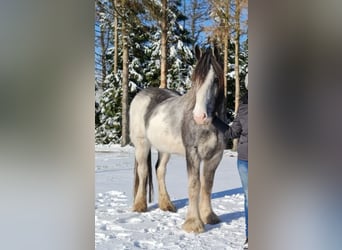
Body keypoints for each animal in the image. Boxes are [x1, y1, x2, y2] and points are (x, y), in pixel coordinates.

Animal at [128, 44, 224, 232]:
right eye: (194, 80)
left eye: (216, 79)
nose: (200, 116)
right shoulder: (193, 153)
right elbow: (194, 185)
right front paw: (193, 224)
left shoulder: (215, 156)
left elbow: (207, 185)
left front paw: (209, 216)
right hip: (142, 145)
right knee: (143, 171)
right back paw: (140, 205)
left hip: (164, 149)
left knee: (159, 170)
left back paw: (167, 205)